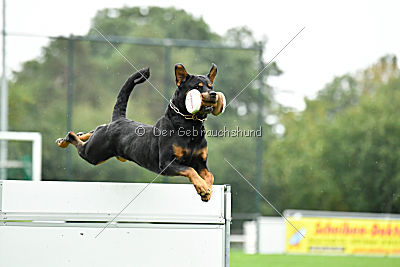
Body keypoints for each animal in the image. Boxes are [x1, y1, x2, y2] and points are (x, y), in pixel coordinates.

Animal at [55, 63, 220, 202]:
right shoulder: (167, 163)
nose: (213, 94)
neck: (190, 125)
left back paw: (72, 137)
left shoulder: (201, 162)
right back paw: (64, 141)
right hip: (93, 154)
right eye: (197, 87)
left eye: (210, 86)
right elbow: (190, 170)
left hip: (98, 143)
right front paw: (203, 188)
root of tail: (119, 119)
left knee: (96, 128)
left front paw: (207, 190)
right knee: (75, 138)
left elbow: (210, 175)